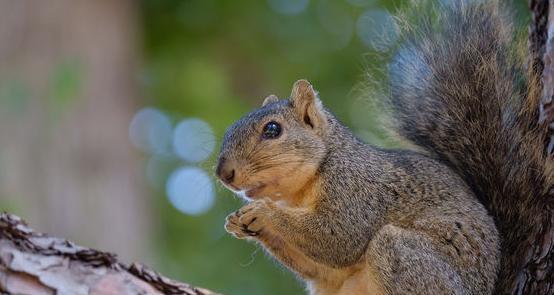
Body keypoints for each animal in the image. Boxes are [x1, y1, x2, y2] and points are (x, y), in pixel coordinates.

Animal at [213, 1, 548, 294]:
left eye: (272, 129)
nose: (224, 173)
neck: (301, 191)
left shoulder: (356, 190)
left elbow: (337, 237)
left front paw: (263, 212)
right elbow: (321, 268)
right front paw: (240, 222)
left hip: (408, 259)